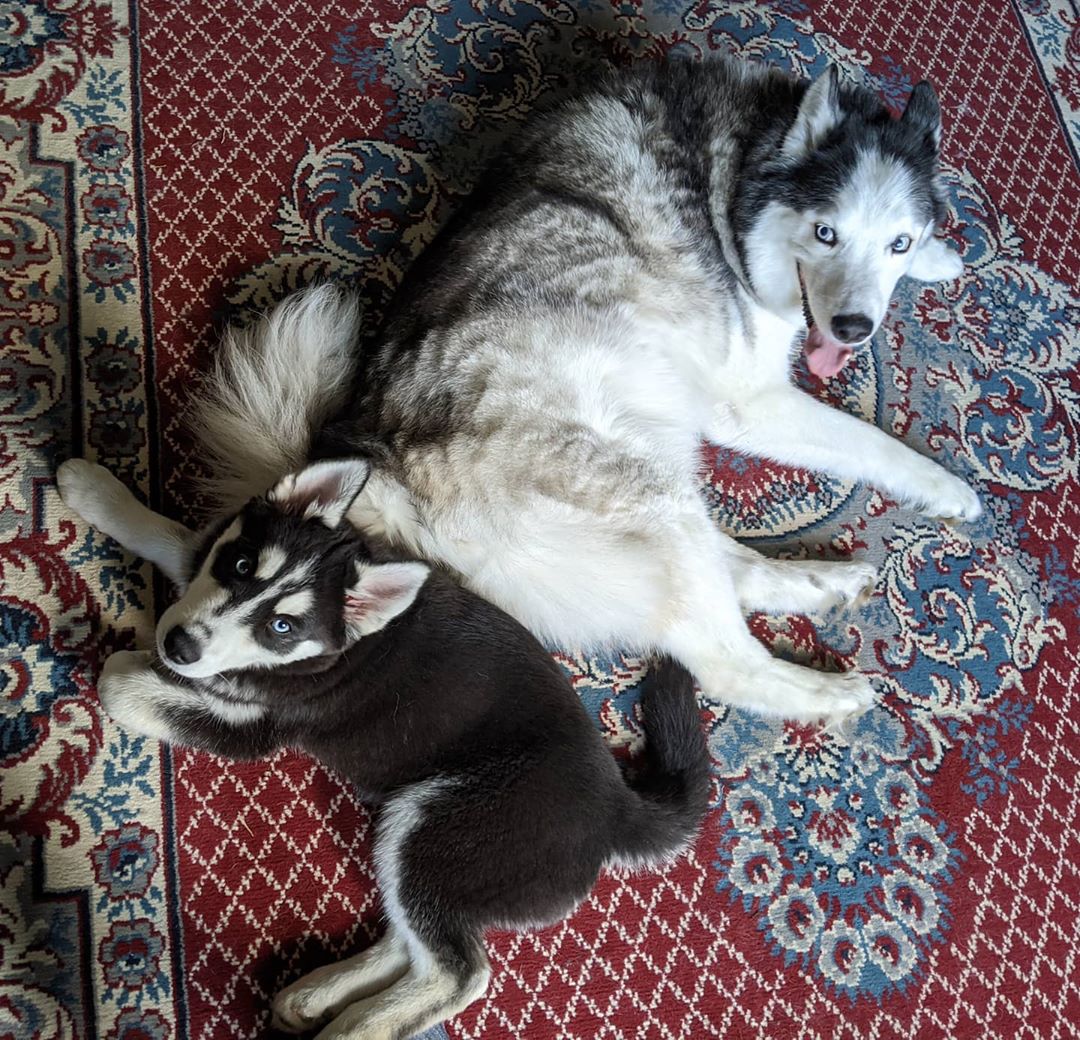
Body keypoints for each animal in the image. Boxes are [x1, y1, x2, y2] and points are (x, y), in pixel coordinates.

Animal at [56, 455, 708, 1040]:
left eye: (282, 628)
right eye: (239, 564)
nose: (180, 645)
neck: (345, 644)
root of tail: (618, 806)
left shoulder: (259, 726)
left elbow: (122, 686)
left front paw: (131, 666)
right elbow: (181, 543)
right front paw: (92, 487)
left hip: (434, 822)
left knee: (457, 971)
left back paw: (351, 1029)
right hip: (431, 853)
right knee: (416, 939)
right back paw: (316, 995)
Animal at [190, 56, 984, 730]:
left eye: (897, 243)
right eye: (825, 234)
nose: (854, 328)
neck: (738, 171)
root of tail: (388, 480)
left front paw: (943, 257)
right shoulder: (750, 400)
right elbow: (875, 444)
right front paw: (951, 490)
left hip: (653, 502)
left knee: (732, 569)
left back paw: (818, 584)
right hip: (649, 496)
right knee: (727, 661)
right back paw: (826, 693)